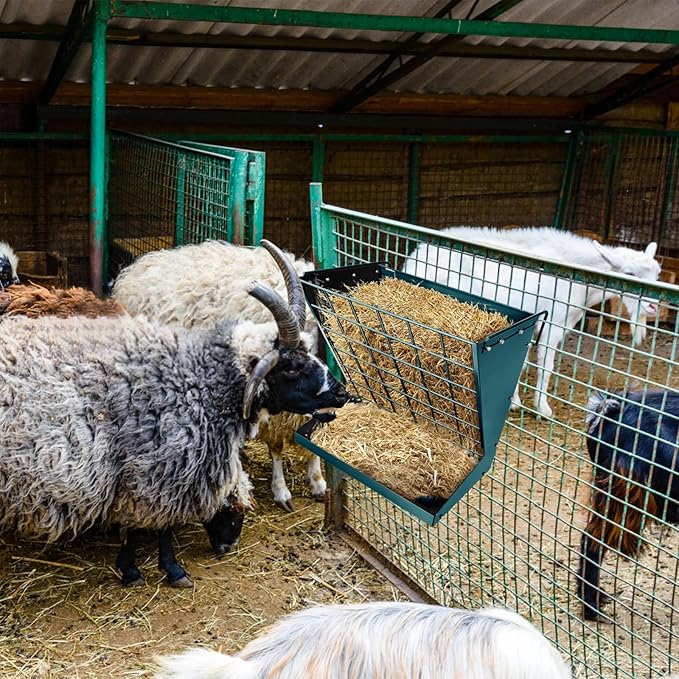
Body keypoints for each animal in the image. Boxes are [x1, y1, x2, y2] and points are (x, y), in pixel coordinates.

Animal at [402, 227, 661, 418]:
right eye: (629, 274)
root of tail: (417, 258)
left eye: (657, 275)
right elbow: (545, 367)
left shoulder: (529, 325)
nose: (654, 307)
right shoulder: (553, 325)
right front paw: (542, 408)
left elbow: (521, 363)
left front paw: (514, 401)